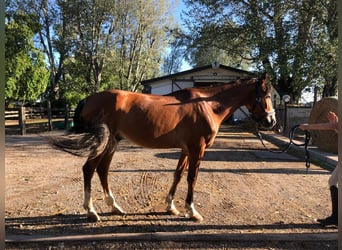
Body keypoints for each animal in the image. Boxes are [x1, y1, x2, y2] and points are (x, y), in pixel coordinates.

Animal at [49, 73, 276, 222]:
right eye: (266, 94)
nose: (271, 121)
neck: (207, 105)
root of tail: (90, 98)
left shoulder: (186, 149)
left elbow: (178, 175)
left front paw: (171, 207)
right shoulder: (197, 149)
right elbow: (192, 178)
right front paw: (191, 211)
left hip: (112, 142)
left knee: (102, 170)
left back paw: (114, 207)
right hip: (103, 143)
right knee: (89, 169)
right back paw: (91, 211)